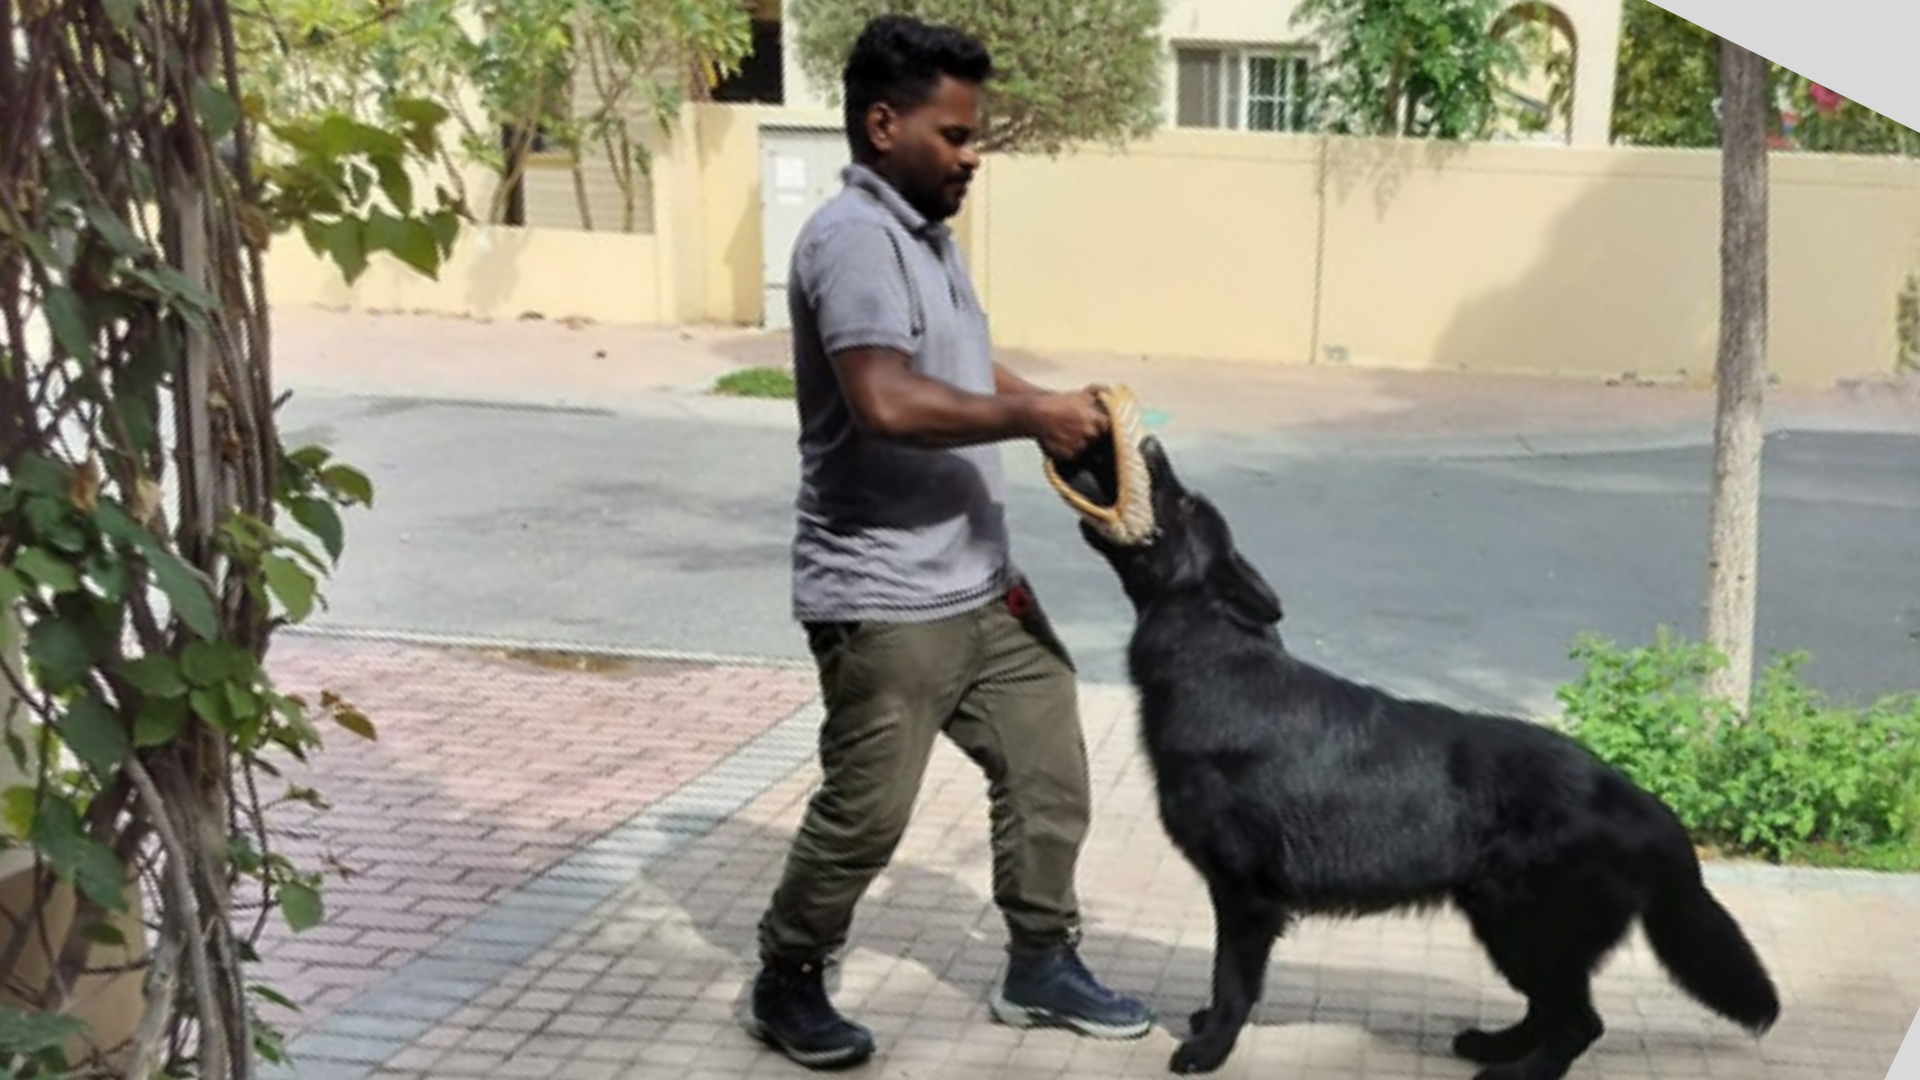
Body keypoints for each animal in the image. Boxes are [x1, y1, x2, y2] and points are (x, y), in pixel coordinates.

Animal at [1075, 438, 1774, 1076]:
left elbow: (1233, 983)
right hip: (1505, 926)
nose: (1148, 443)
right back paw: (1497, 1045)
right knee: (1552, 1010)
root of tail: (1645, 803)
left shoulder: (1247, 898)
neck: (1213, 660)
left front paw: (1210, 1047)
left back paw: (1517, 1072)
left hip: (1522, 927)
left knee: (1580, 1021)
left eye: (1184, 502)